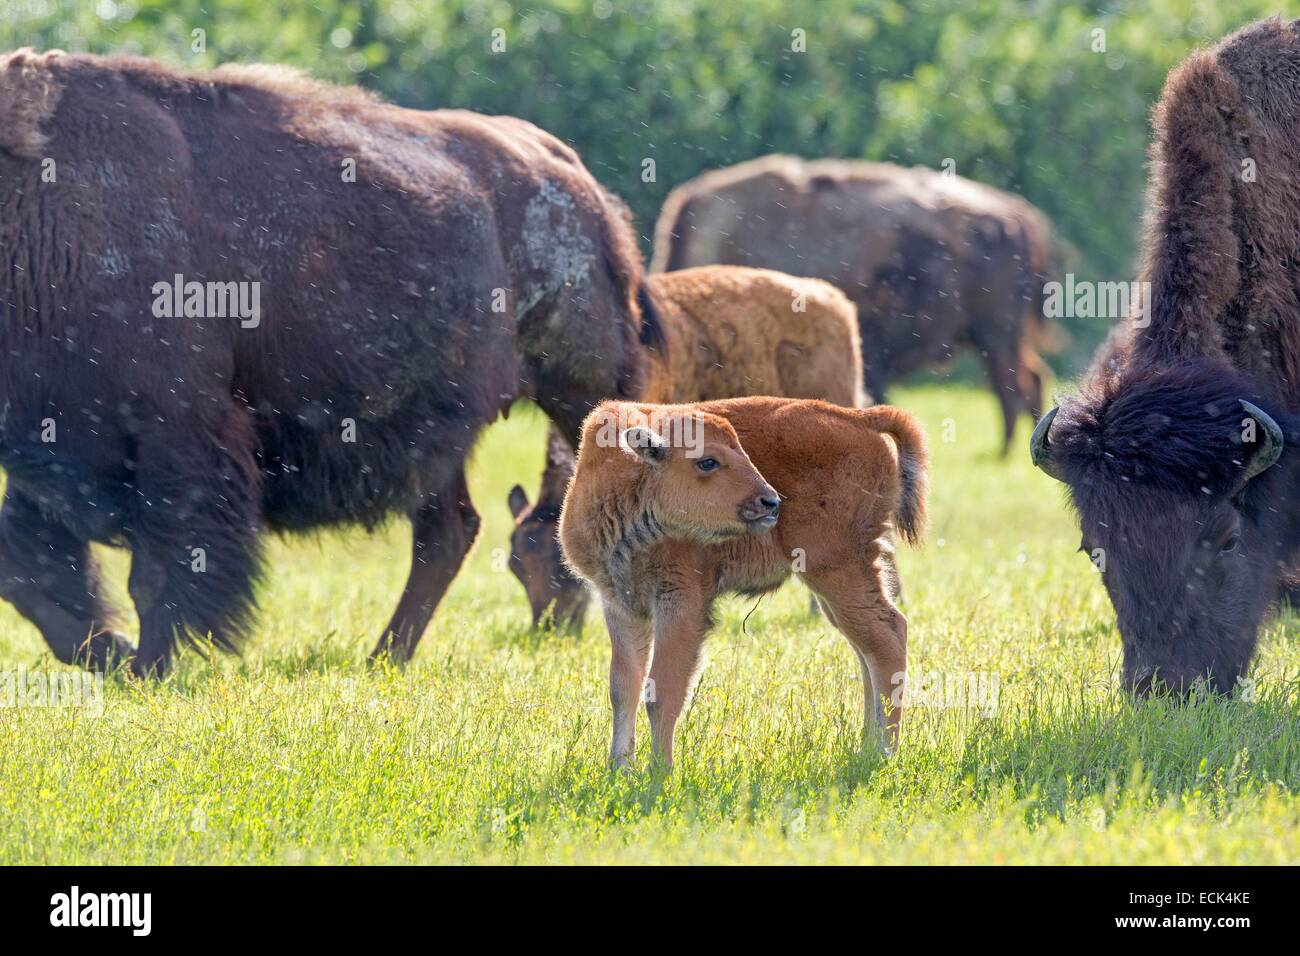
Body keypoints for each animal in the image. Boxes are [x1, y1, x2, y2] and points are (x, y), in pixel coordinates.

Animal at [0, 52, 655, 676]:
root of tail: (578, 182)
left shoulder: (176, 435)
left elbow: (159, 570)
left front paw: (148, 668)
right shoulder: (51, 445)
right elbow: (27, 572)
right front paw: (114, 658)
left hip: (578, 389)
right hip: (440, 434)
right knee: (447, 532)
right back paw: (384, 658)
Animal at [556, 395, 925, 770]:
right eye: (707, 461)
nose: (771, 501)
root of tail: (860, 419)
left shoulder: (681, 601)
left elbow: (662, 691)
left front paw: (659, 772)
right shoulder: (620, 604)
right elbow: (623, 687)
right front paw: (619, 769)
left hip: (839, 571)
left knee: (888, 636)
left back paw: (882, 752)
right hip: (835, 585)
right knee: (867, 651)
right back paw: (866, 747)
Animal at [650, 155, 1055, 455]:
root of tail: (1017, 216)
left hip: (996, 334)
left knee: (1013, 384)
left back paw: (1005, 452)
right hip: (995, 337)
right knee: (1026, 379)